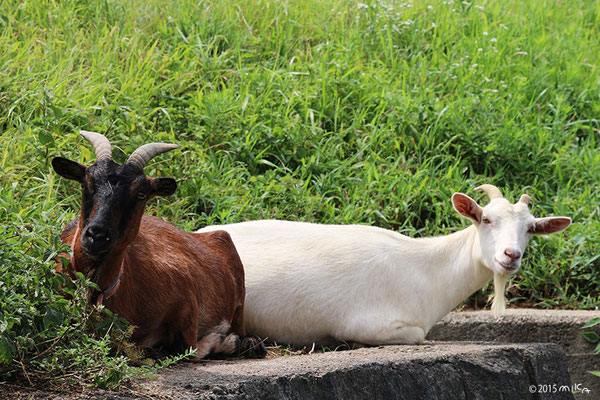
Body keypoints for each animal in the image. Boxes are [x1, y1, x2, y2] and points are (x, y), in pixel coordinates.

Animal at [53, 131, 264, 360]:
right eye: (86, 184)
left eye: (141, 194)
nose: (96, 235)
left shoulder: (186, 296)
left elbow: (186, 348)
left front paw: (226, 341)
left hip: (239, 304)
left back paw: (248, 342)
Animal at [198, 186, 572, 346]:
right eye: (486, 219)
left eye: (531, 229)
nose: (511, 255)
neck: (427, 269)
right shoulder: (369, 323)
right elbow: (417, 337)